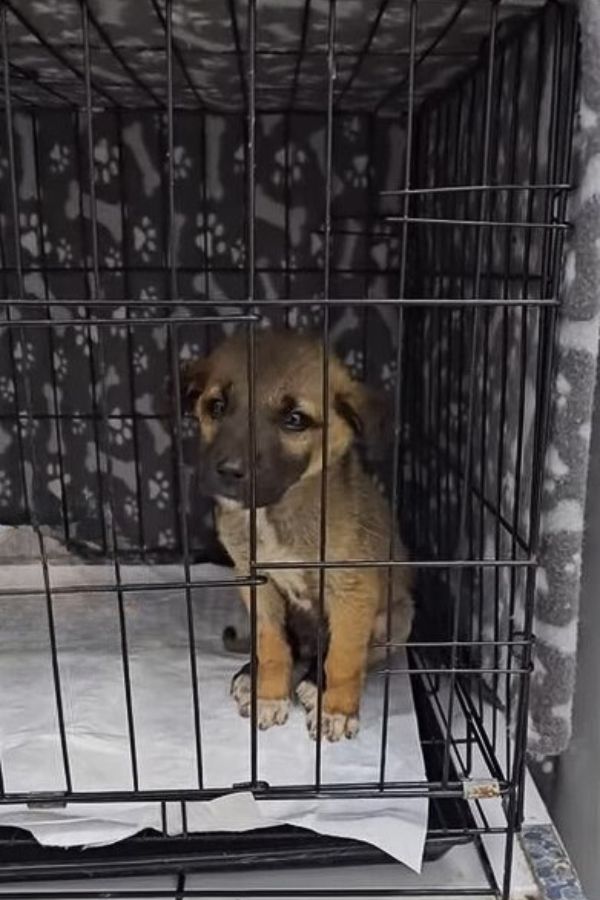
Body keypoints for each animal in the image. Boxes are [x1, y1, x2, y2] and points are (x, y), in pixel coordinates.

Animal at [182, 330, 412, 740]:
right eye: (217, 406)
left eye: (295, 420)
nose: (228, 471)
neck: (272, 512)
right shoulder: (254, 582)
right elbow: (273, 645)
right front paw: (269, 696)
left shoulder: (352, 589)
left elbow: (345, 658)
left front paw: (336, 709)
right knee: (292, 647)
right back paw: (253, 675)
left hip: (396, 620)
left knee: (344, 655)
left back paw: (314, 683)